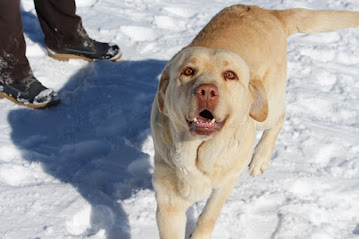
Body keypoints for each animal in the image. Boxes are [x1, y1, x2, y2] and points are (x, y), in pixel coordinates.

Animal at [150, 4, 358, 239]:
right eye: (188, 71)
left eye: (230, 75)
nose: (207, 91)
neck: (199, 153)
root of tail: (268, 11)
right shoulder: (169, 202)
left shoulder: (227, 181)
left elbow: (208, 216)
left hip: (266, 109)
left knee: (280, 116)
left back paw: (260, 159)